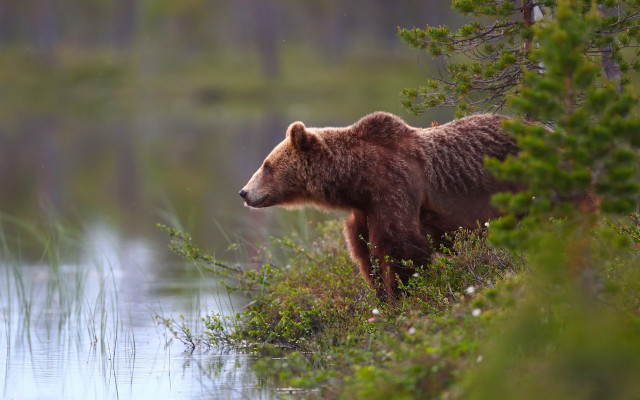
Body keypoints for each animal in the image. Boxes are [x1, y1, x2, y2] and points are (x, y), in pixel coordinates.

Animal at [239, 112, 519, 299]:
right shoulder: (365, 209)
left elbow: (401, 245)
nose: (244, 192)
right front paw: (380, 293)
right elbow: (364, 251)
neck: (358, 178)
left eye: (267, 165)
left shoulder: (395, 186)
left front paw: (401, 293)